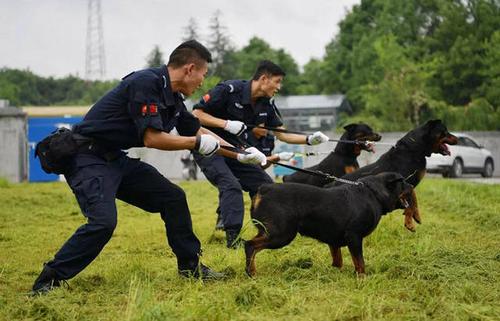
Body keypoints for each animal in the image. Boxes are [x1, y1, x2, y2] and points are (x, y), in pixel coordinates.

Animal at [245, 171, 414, 276]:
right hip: (281, 234)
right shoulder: (354, 236)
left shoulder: (334, 241)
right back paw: (251, 273)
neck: (373, 194)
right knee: (250, 245)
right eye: (403, 182)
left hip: (269, 231)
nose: (412, 186)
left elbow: (338, 260)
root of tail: (264, 189)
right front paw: (362, 278)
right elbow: (360, 262)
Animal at [328, 119, 458, 231]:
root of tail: (331, 184)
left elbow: (413, 199)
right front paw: (409, 221)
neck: (414, 149)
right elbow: (411, 198)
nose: (458, 139)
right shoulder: (404, 182)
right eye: (445, 132)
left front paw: (415, 215)